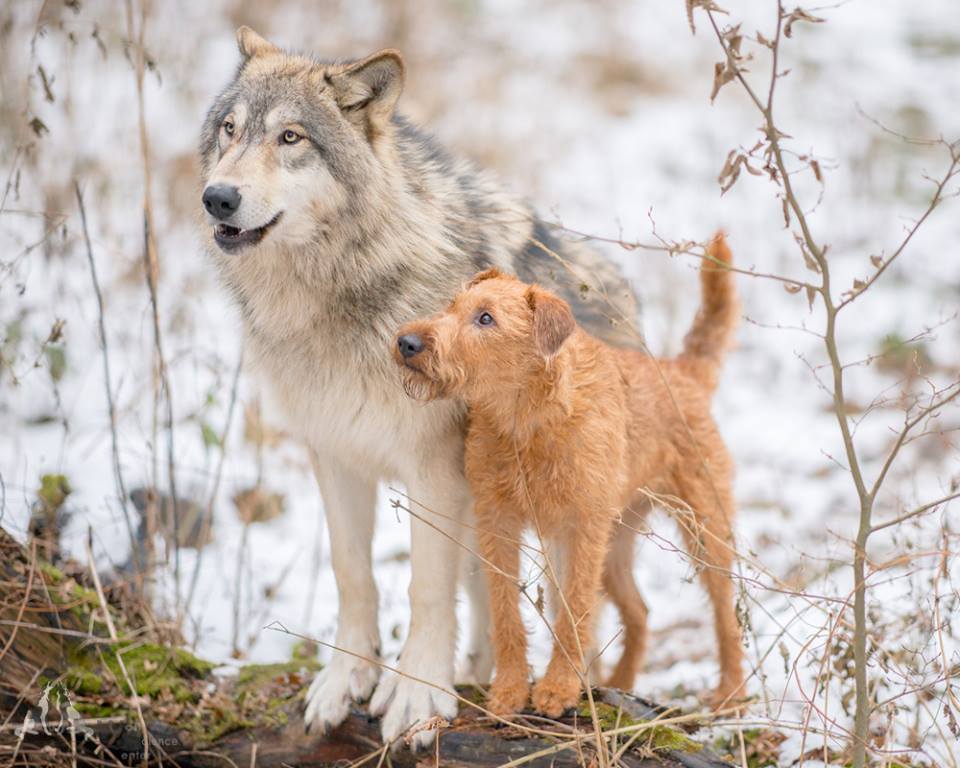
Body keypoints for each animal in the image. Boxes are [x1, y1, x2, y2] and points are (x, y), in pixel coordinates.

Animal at [199, 28, 640, 744]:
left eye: (291, 137)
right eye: (230, 130)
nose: (218, 197)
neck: (343, 299)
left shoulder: (434, 469)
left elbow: (424, 589)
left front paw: (418, 696)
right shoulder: (334, 454)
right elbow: (354, 575)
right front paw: (345, 680)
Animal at [390, 237, 744, 716]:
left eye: (485, 318)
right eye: (451, 305)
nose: (406, 342)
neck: (525, 420)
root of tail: (682, 372)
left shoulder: (582, 531)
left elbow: (573, 611)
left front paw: (557, 689)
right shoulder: (497, 522)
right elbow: (505, 611)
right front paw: (509, 691)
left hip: (704, 527)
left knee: (726, 613)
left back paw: (731, 694)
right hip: (616, 544)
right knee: (640, 611)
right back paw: (620, 684)